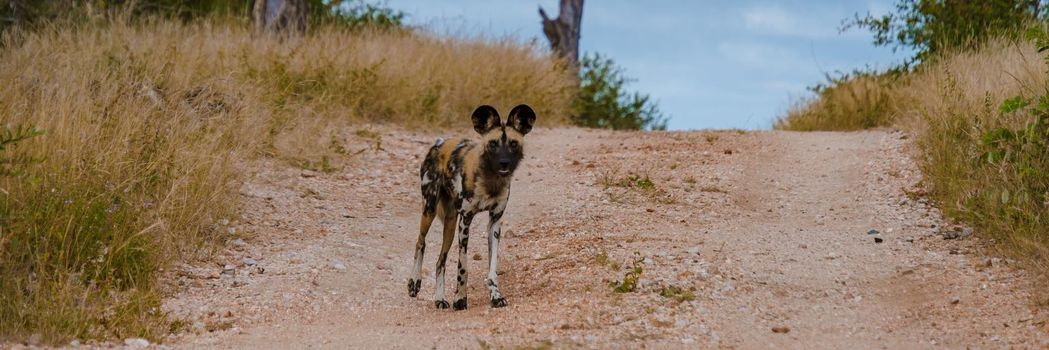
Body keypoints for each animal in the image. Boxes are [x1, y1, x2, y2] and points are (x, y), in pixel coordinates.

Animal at [407, 103, 537, 308]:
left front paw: (495, 296)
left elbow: (492, 269)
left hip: (450, 224)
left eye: (513, 144)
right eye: (493, 144)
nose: (504, 163)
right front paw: (460, 299)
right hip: (430, 209)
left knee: (440, 261)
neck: (490, 181)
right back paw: (414, 282)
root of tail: (439, 143)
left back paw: (439, 298)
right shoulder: (465, 221)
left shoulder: (494, 223)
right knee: (420, 242)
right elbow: (463, 267)